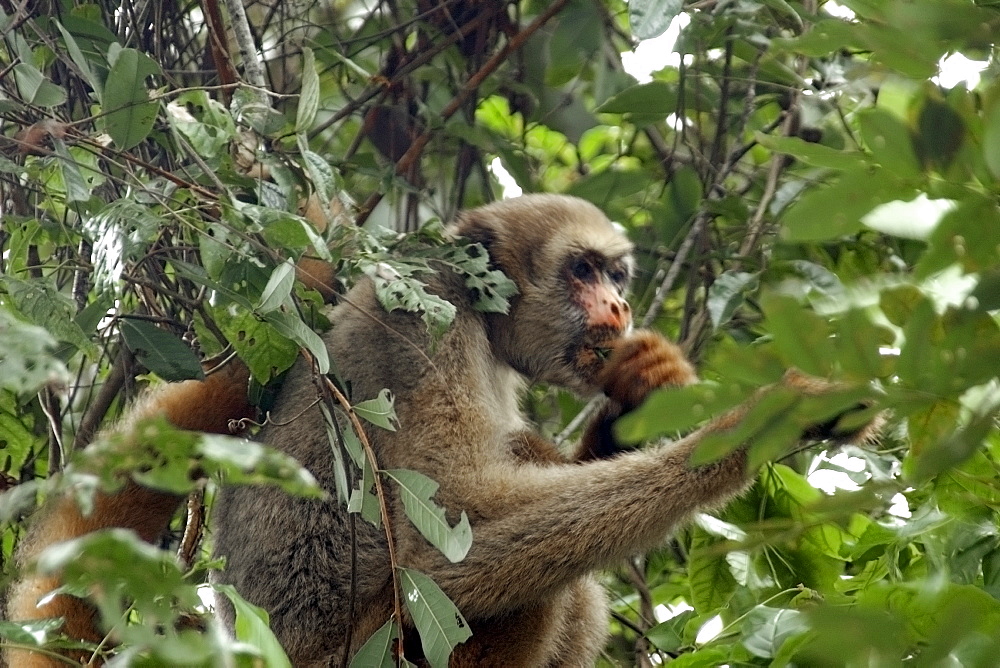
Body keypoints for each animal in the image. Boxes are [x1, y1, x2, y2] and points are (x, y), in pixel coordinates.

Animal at [1, 194, 876, 668]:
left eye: (616, 275)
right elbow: (450, 530)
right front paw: (763, 422)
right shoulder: (420, 319)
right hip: (375, 648)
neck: (482, 322)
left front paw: (640, 396)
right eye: (583, 271)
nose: (619, 304)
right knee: (536, 590)